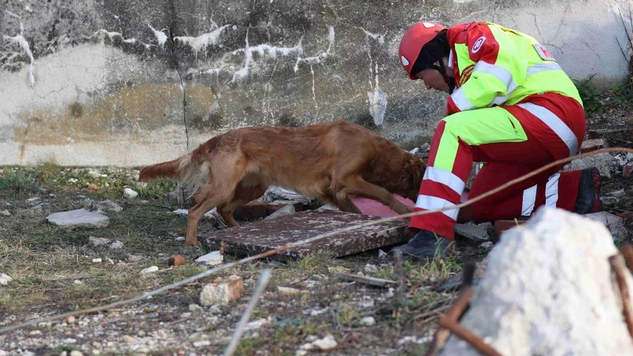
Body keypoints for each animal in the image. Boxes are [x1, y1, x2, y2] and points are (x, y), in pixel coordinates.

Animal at [138, 119, 424, 245]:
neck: (377, 150)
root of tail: (218, 138)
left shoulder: (335, 192)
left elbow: (357, 210)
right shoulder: (344, 180)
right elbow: (383, 193)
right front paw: (404, 210)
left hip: (253, 187)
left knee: (223, 208)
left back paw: (236, 231)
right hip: (225, 186)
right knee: (196, 209)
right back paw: (192, 241)